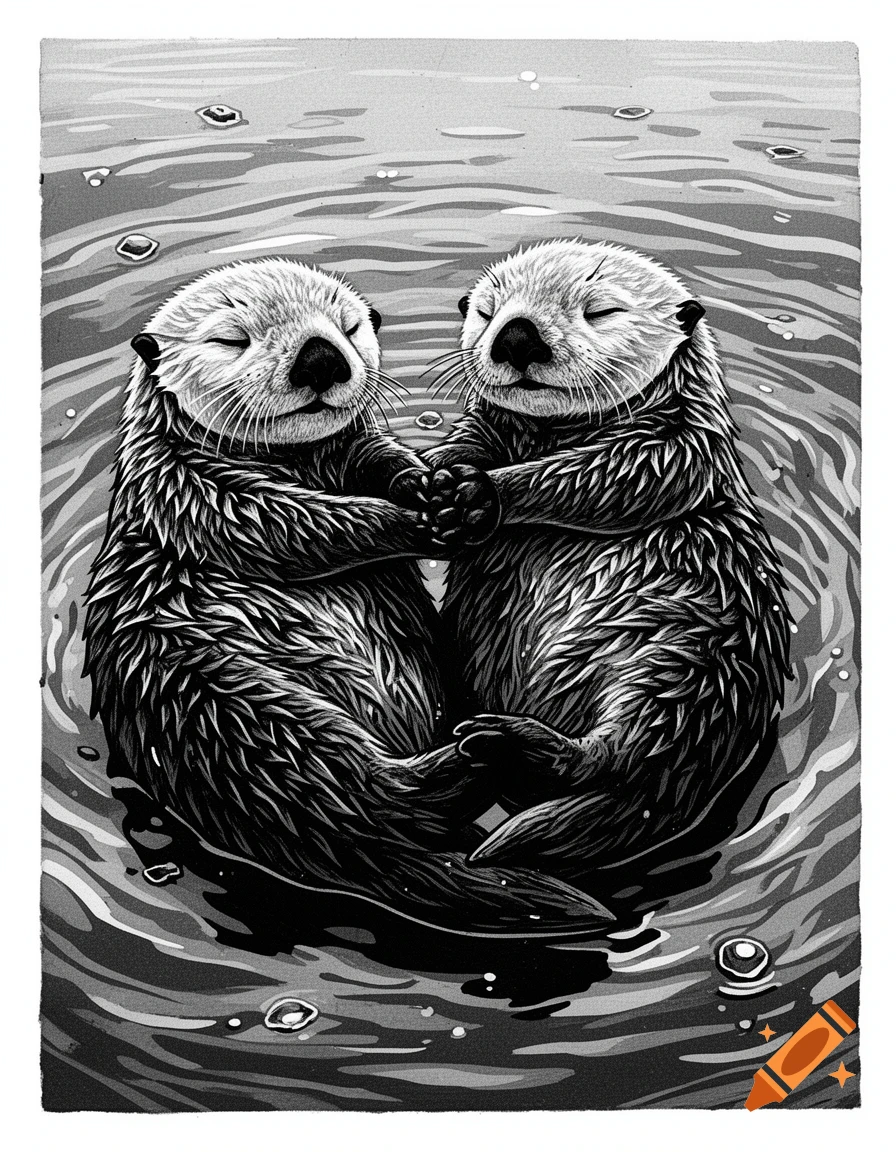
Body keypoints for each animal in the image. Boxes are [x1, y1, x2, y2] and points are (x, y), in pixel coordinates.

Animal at [83, 258, 610, 934]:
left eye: (349, 327)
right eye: (231, 338)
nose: (319, 358)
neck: (300, 461)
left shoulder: (352, 449)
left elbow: (378, 456)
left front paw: (434, 489)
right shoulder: (192, 489)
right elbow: (294, 523)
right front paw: (419, 517)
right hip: (221, 699)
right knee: (364, 787)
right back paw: (471, 757)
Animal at [413, 239, 791, 882]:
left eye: (601, 310)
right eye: (488, 311)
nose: (517, 336)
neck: (551, 433)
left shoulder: (676, 446)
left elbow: (609, 474)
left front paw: (478, 495)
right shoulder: (490, 427)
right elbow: (468, 441)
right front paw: (435, 477)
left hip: (689, 661)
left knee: (617, 755)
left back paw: (509, 743)